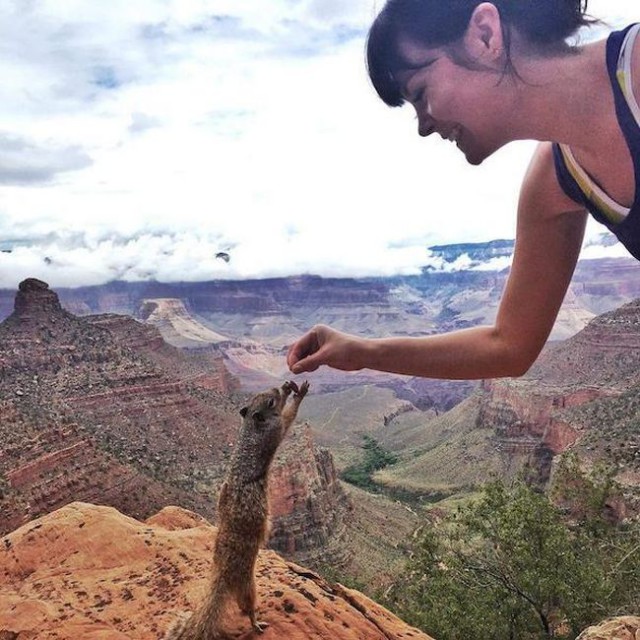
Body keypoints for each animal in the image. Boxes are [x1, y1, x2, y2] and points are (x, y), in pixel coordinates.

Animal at [166, 380, 308, 640]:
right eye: (271, 401)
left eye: (265, 394)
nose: (282, 386)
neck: (251, 425)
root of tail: (221, 574)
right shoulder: (276, 428)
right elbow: (288, 418)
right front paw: (299, 393)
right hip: (248, 585)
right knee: (248, 607)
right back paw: (256, 624)